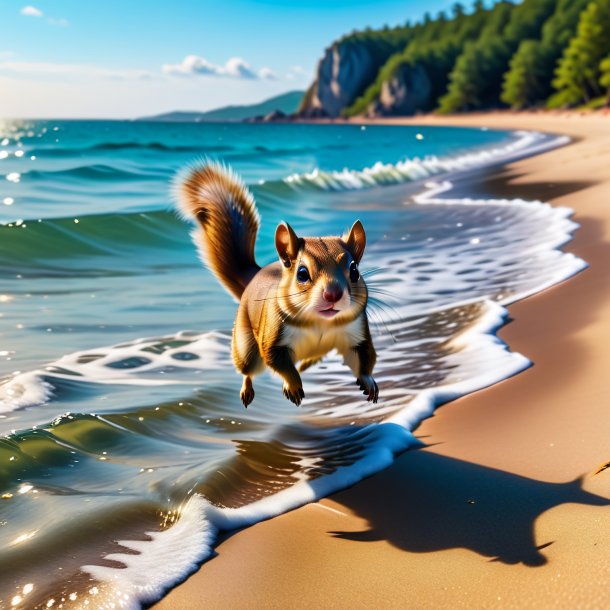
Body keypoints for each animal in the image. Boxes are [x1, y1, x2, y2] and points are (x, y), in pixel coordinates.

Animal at [175, 162, 376, 408]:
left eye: (355, 270)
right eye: (302, 273)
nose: (333, 294)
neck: (321, 323)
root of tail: (255, 276)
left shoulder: (358, 335)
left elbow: (365, 358)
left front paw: (368, 381)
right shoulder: (273, 337)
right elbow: (278, 362)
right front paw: (293, 386)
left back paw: (306, 363)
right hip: (245, 347)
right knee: (248, 368)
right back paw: (248, 389)